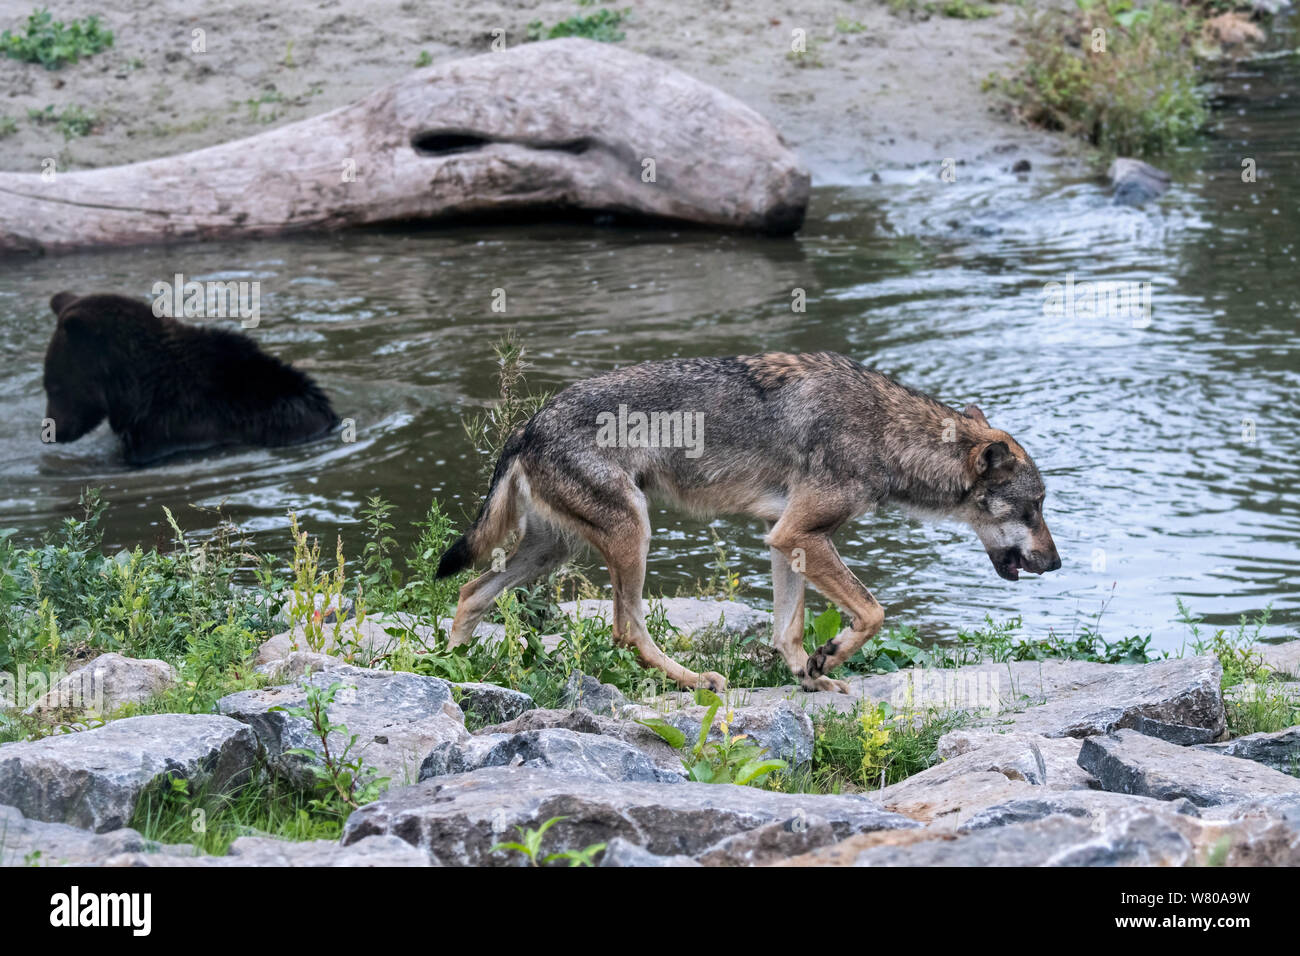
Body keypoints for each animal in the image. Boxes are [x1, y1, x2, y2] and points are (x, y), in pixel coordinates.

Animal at [436, 351, 1055, 697]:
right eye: (1035, 507)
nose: (1057, 562)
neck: (889, 433)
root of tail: (528, 426)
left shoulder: (787, 539)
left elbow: (788, 630)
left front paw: (811, 675)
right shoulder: (798, 534)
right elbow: (874, 613)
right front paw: (830, 656)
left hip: (552, 552)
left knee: (470, 593)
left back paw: (456, 671)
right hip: (633, 534)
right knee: (627, 631)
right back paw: (697, 682)